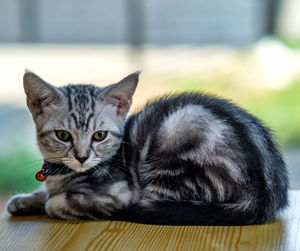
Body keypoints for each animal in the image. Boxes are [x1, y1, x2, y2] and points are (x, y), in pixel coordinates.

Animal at [5, 71, 288, 226]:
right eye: (63, 135)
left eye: (99, 136)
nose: (82, 157)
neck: (64, 176)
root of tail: (266, 193)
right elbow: (46, 193)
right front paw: (25, 200)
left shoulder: (120, 191)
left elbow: (57, 203)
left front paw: (48, 201)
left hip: (176, 146)